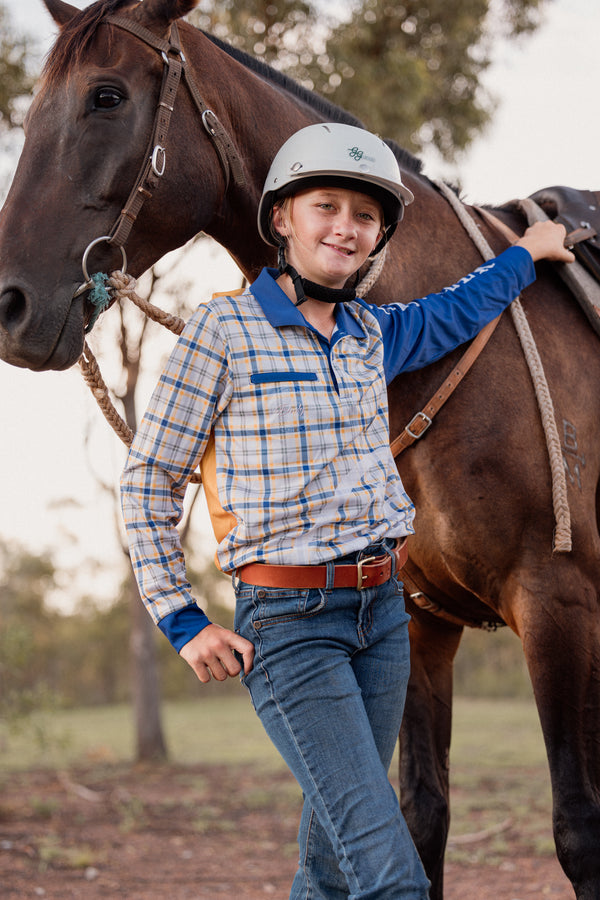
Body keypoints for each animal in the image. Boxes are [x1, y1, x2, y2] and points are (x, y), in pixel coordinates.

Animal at [1, 3, 600, 896]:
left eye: (106, 96)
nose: (9, 304)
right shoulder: (418, 621)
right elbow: (421, 817)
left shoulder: (558, 605)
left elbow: (576, 829)